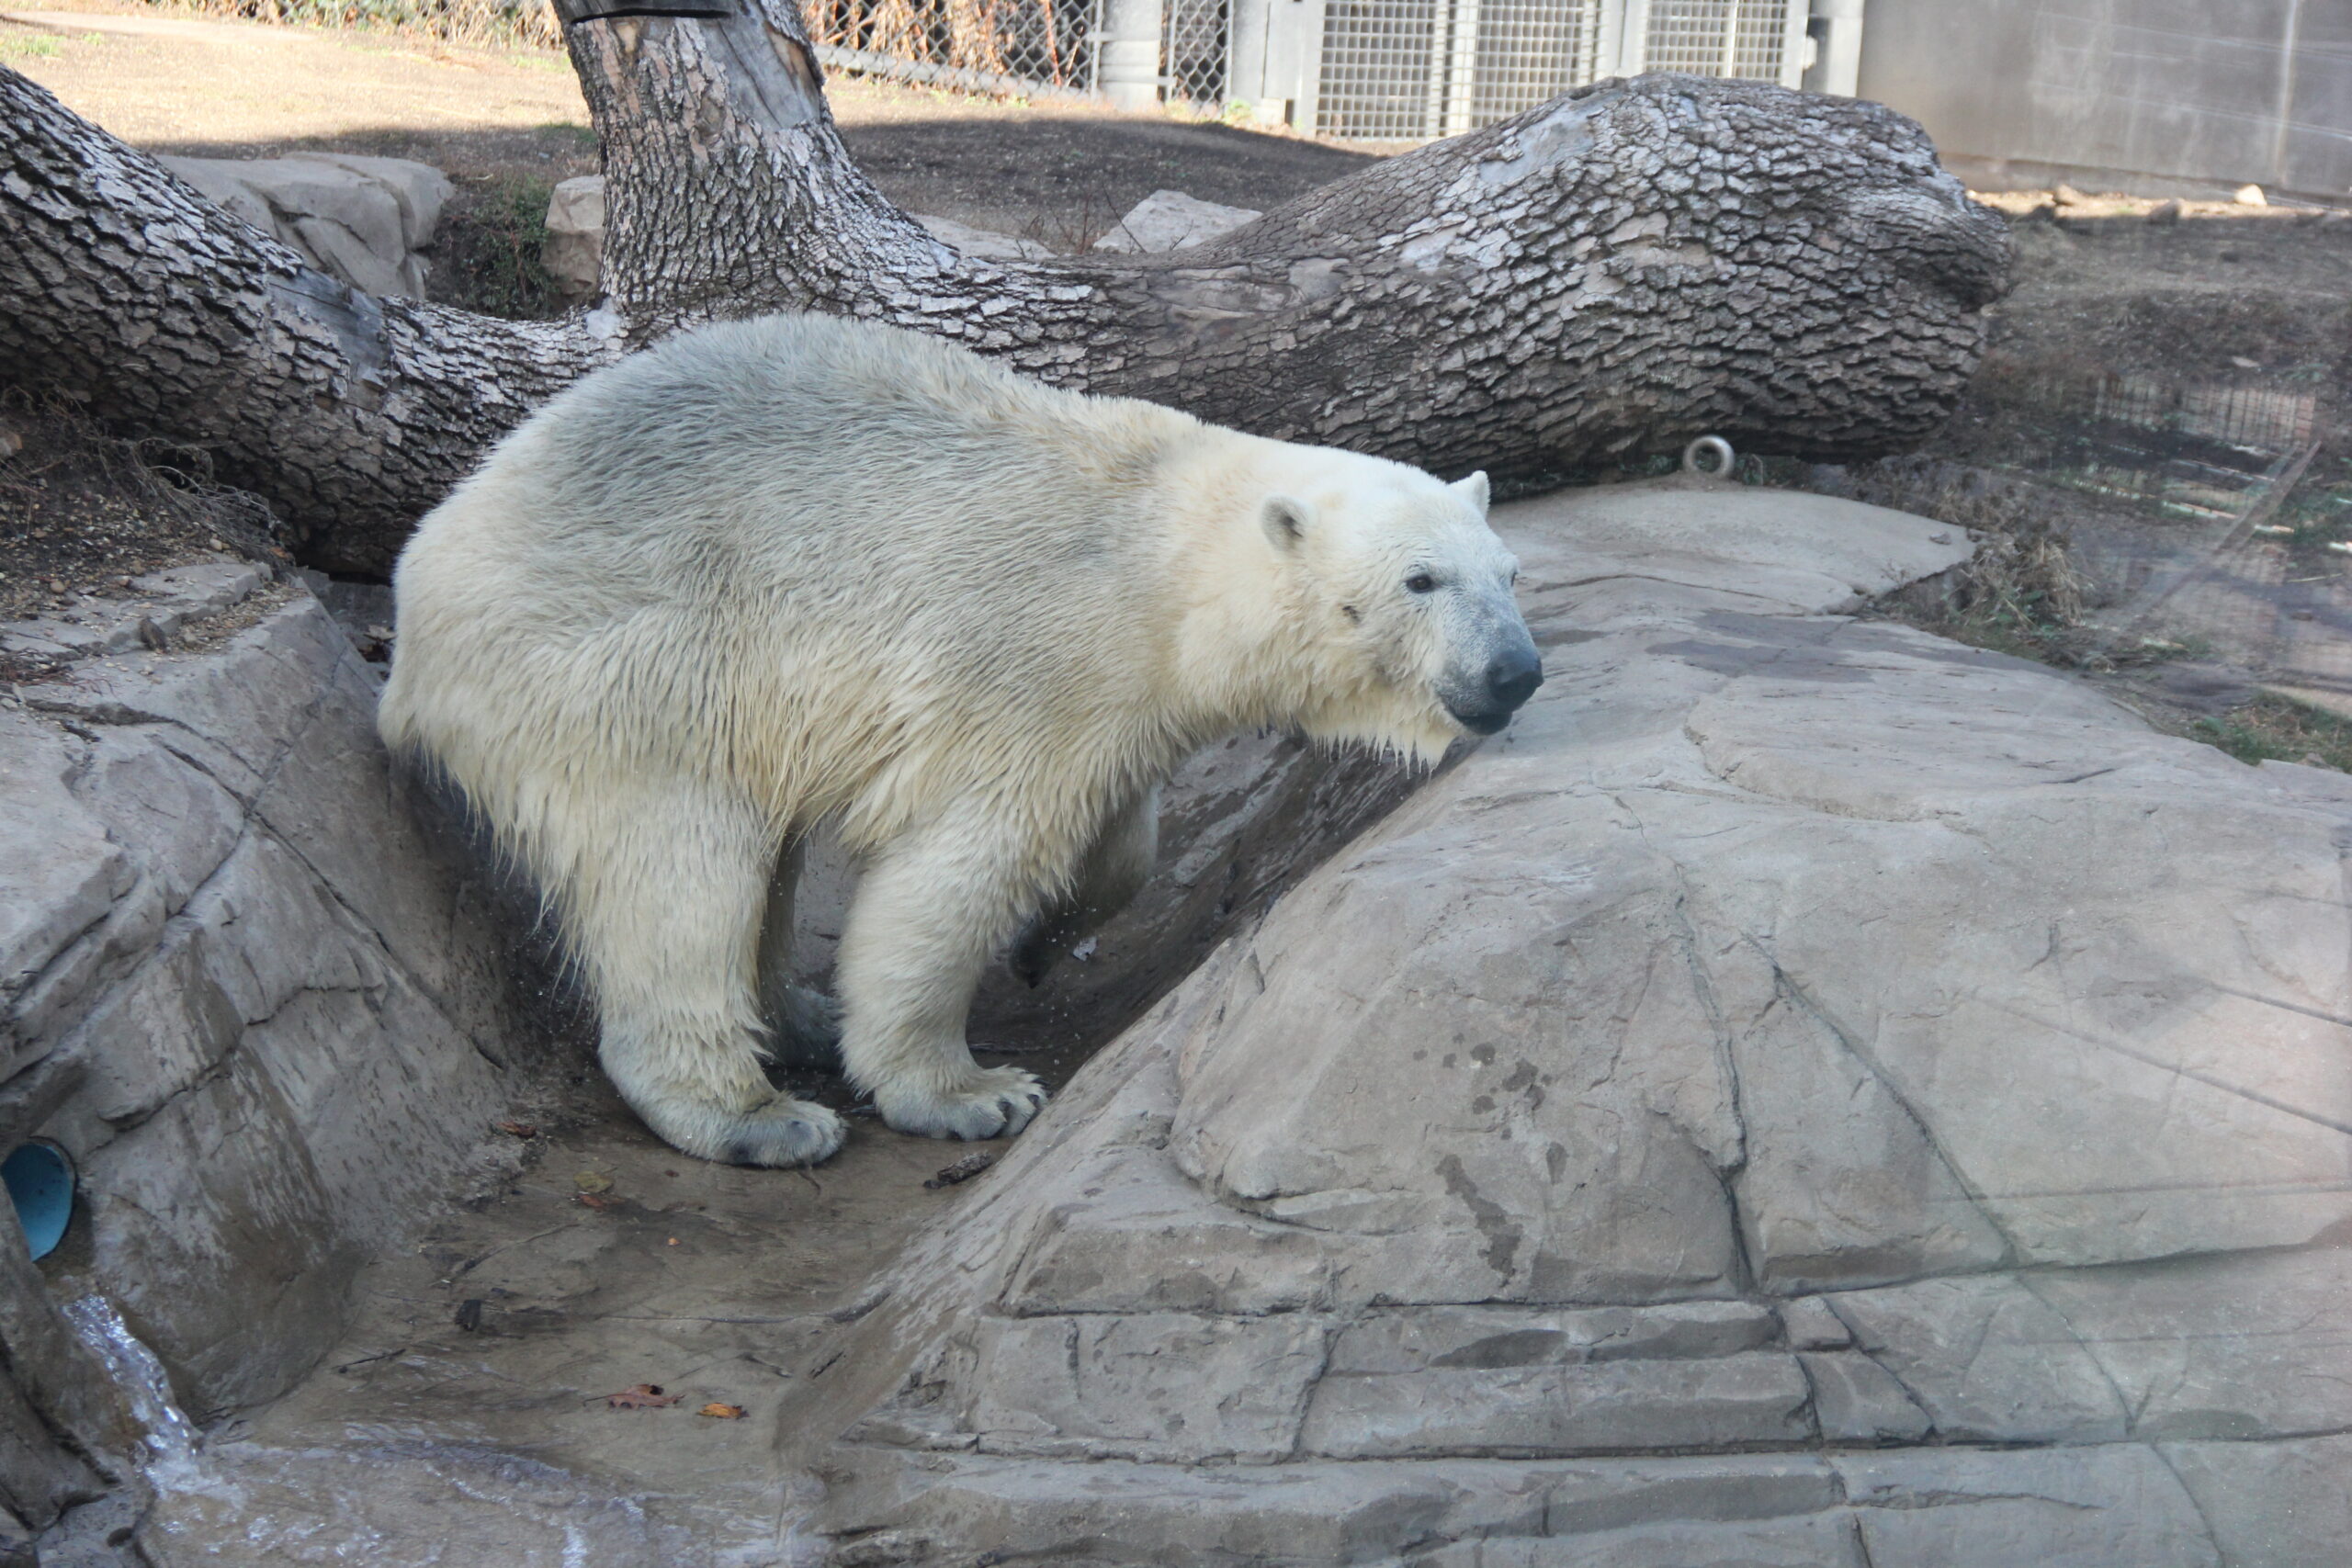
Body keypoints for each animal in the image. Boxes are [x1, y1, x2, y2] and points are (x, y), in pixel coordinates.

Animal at [379, 313, 1541, 1167]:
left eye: (1507, 571)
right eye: (1418, 580)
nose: (1514, 672)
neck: (1159, 554)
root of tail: (425, 576)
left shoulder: (1126, 698)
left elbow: (1122, 838)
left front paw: (1046, 939)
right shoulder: (1029, 667)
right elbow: (961, 867)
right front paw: (971, 1091)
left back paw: (798, 1016)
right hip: (621, 668)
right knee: (679, 867)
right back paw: (757, 1115)